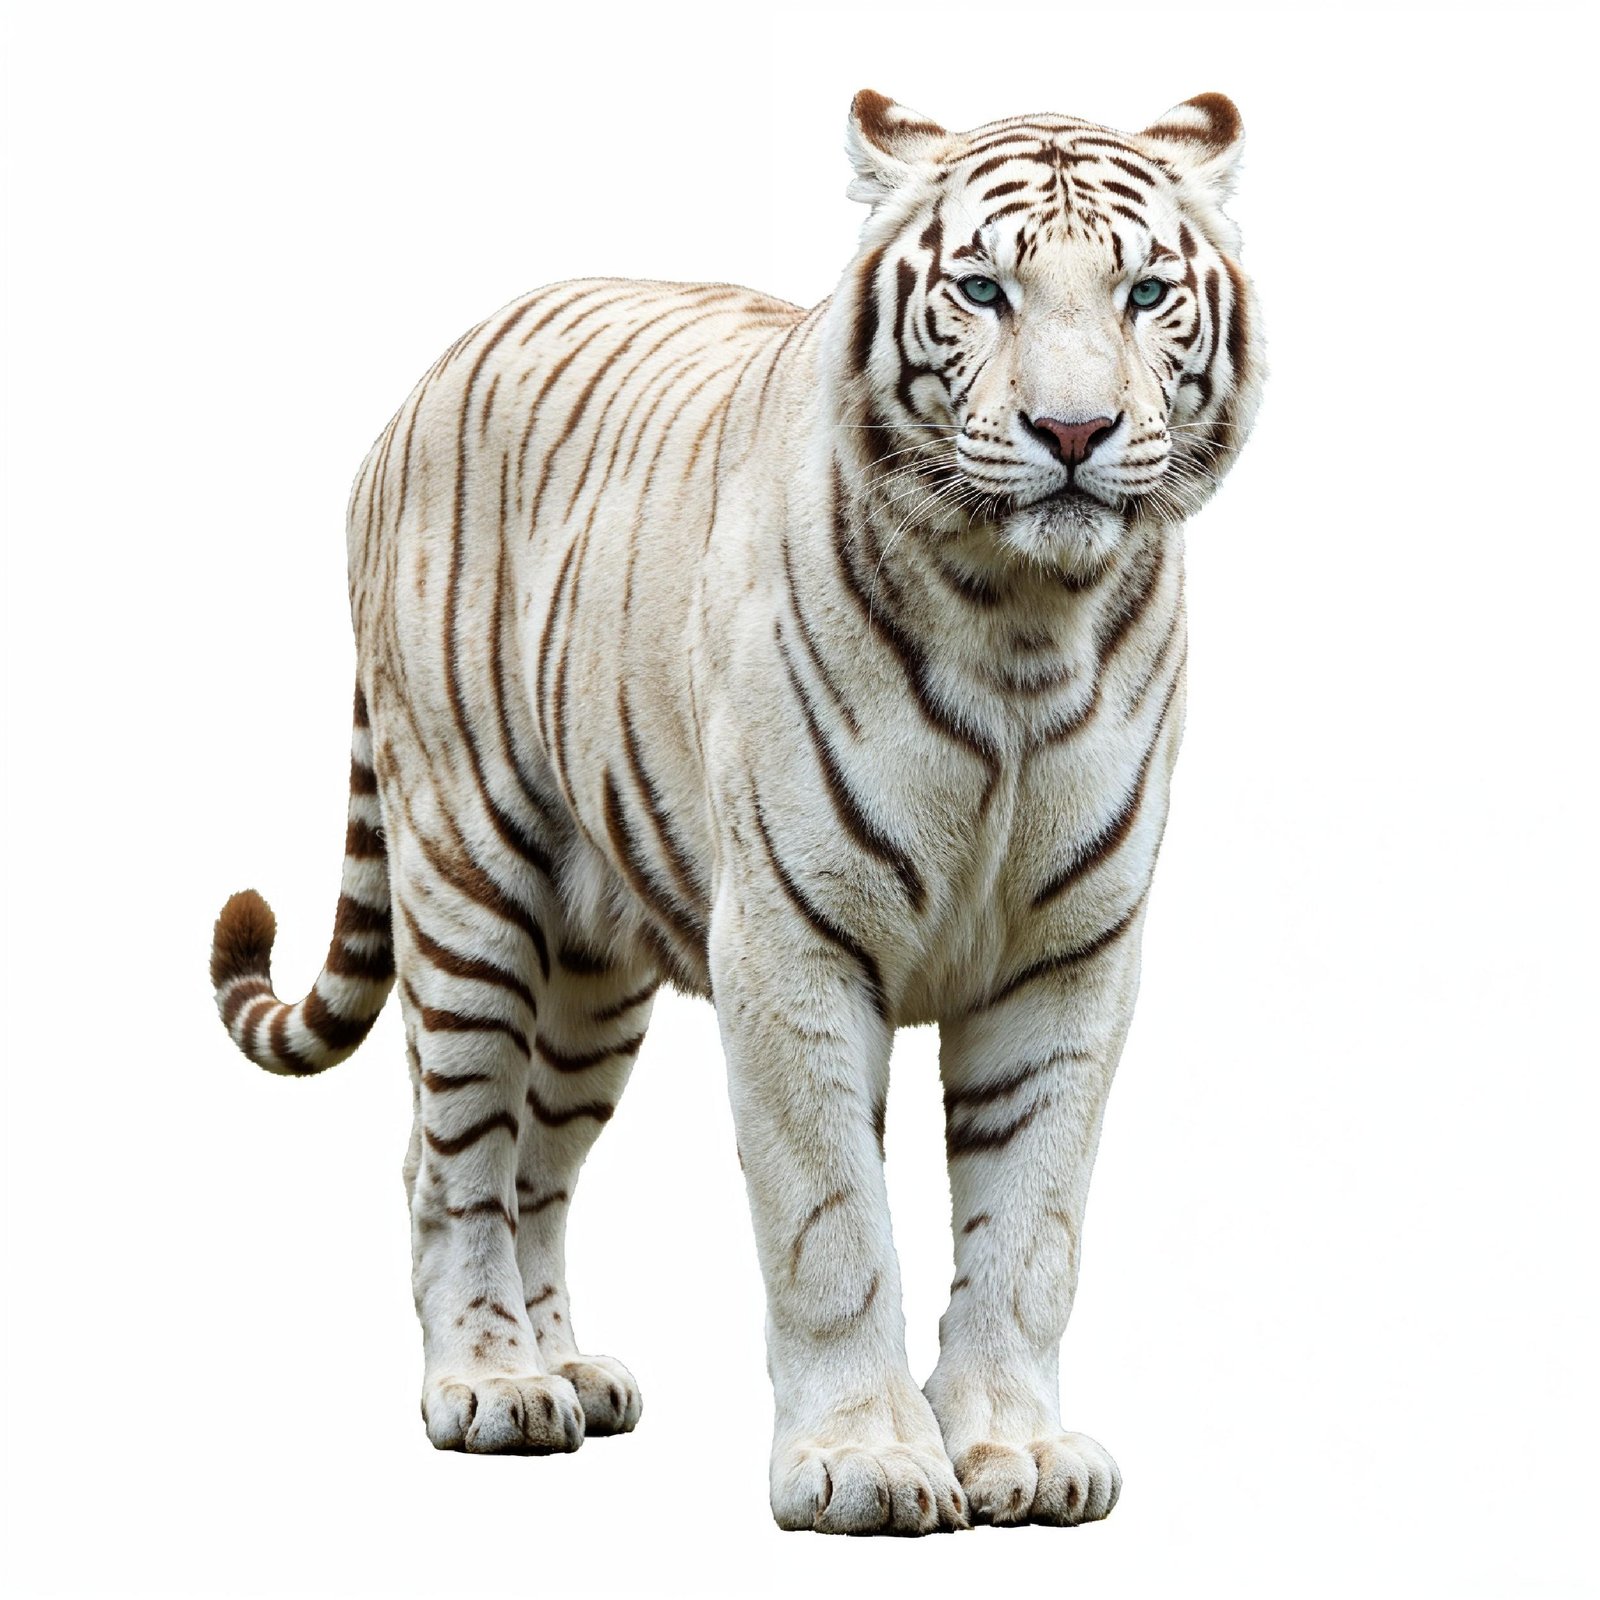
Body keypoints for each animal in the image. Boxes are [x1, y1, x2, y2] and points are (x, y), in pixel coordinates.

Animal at [209, 87, 1262, 1534]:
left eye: (1146, 292)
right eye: (981, 289)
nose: (1072, 434)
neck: (1022, 621)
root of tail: (432, 369)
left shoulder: (1071, 956)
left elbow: (1029, 1224)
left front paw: (1015, 1447)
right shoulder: (793, 939)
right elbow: (833, 1224)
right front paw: (866, 1461)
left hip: (591, 972)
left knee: (536, 1164)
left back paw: (568, 1371)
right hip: (465, 884)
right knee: (448, 1159)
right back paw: (487, 1384)